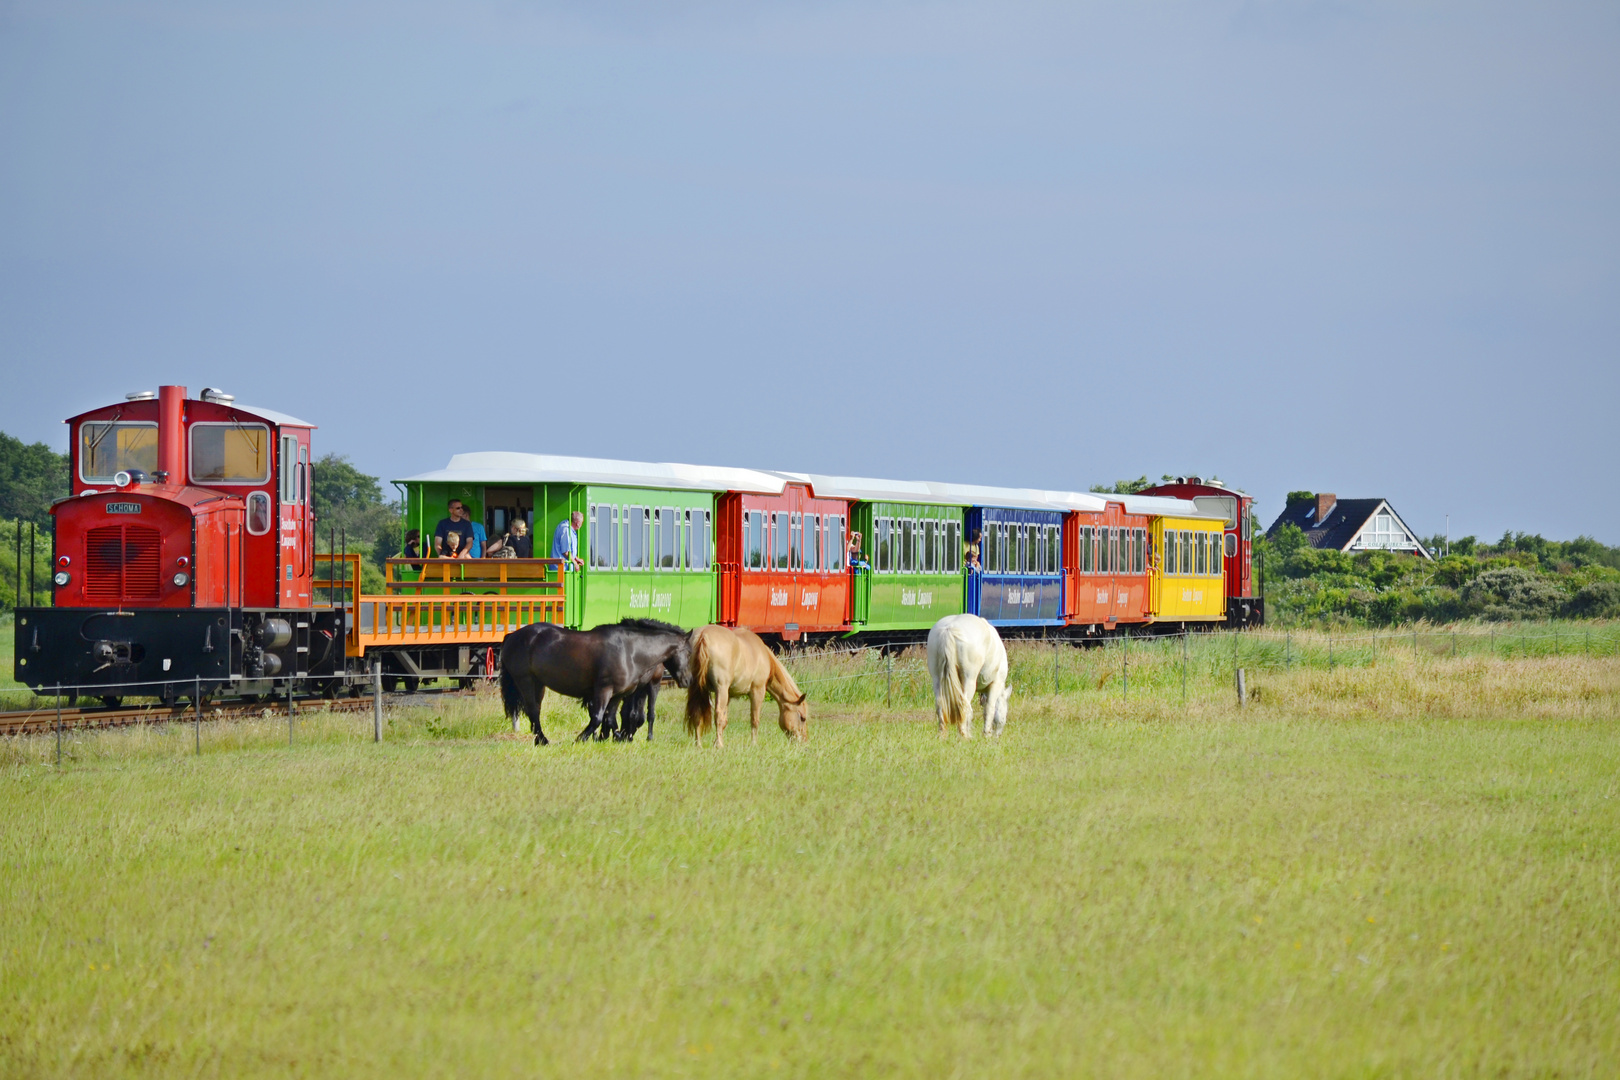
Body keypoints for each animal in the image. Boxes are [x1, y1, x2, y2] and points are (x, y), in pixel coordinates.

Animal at [498, 615, 690, 744]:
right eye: (689, 653)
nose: (688, 680)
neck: (630, 651)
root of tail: (512, 636)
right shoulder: (603, 690)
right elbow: (598, 717)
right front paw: (582, 738)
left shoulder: (618, 695)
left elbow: (611, 718)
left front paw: (616, 737)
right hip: (526, 681)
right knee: (533, 710)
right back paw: (543, 740)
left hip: (539, 684)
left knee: (535, 711)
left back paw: (540, 740)